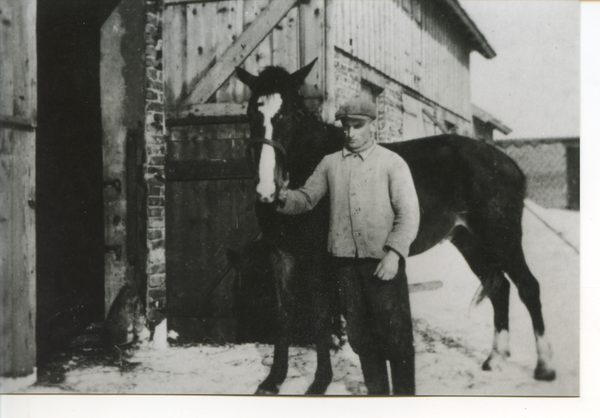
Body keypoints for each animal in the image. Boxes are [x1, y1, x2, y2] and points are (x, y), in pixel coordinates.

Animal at [236, 59, 556, 396]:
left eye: (291, 114)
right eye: (250, 113)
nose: (268, 190)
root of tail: (506, 162)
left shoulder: (317, 258)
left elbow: (321, 315)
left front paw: (319, 382)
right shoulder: (280, 254)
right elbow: (282, 314)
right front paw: (272, 380)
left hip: (502, 238)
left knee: (528, 287)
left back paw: (544, 366)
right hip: (469, 240)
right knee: (500, 288)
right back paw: (495, 359)